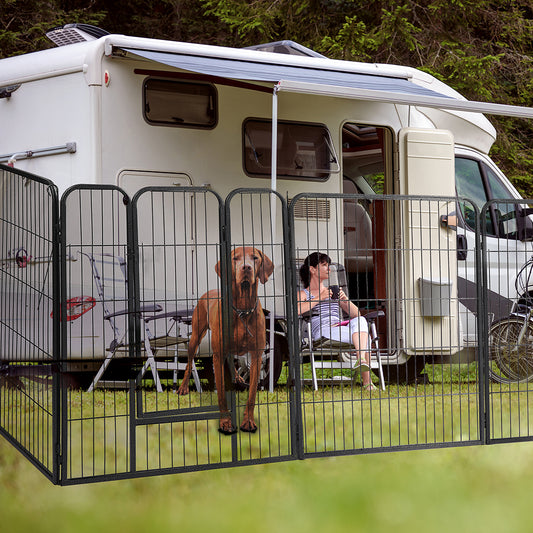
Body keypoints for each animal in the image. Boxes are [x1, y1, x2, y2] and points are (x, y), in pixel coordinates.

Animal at [179, 247, 272, 434]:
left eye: (255, 258)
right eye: (235, 258)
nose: (246, 268)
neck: (242, 310)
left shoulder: (257, 355)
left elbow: (252, 394)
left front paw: (248, 421)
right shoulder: (217, 354)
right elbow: (221, 392)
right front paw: (225, 422)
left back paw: (237, 376)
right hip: (195, 337)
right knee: (189, 362)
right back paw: (183, 387)